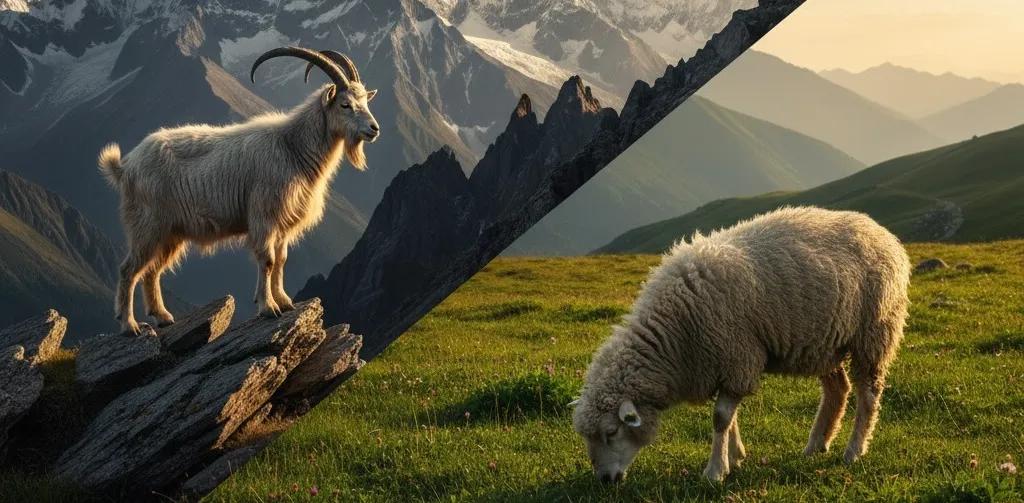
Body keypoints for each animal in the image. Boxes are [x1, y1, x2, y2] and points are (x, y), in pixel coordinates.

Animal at [98, 46, 380, 334]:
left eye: (365, 102)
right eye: (345, 104)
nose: (374, 129)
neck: (292, 147)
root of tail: (125, 166)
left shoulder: (283, 224)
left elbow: (281, 260)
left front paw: (284, 301)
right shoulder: (264, 217)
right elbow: (267, 260)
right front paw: (268, 307)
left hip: (170, 232)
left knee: (152, 270)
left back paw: (163, 316)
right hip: (147, 226)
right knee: (129, 269)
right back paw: (130, 325)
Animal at [572, 207, 910, 483]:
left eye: (611, 432)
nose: (605, 480)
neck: (675, 337)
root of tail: (883, 233)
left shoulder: (737, 356)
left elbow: (720, 417)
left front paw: (715, 470)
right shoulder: (724, 362)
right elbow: (729, 416)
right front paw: (734, 457)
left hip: (874, 333)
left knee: (869, 393)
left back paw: (854, 450)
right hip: (825, 343)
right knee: (838, 390)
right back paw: (816, 445)